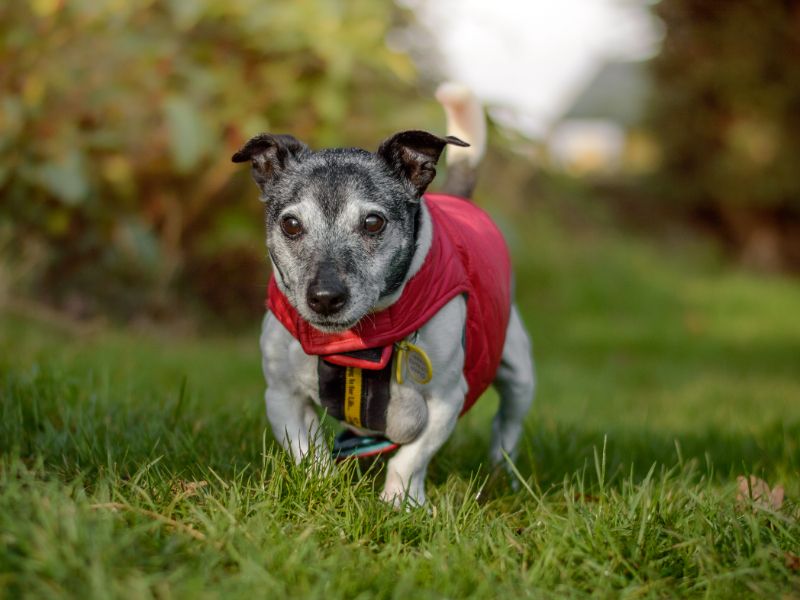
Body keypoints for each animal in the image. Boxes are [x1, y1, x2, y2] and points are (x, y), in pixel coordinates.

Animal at [234, 84, 536, 506]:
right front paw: (323, 489)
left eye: (373, 222)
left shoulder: (446, 400)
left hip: (518, 372)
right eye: (291, 224)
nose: (325, 296)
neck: (356, 343)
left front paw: (399, 502)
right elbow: (309, 453)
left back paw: (502, 474)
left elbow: (410, 459)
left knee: (506, 428)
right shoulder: (282, 397)